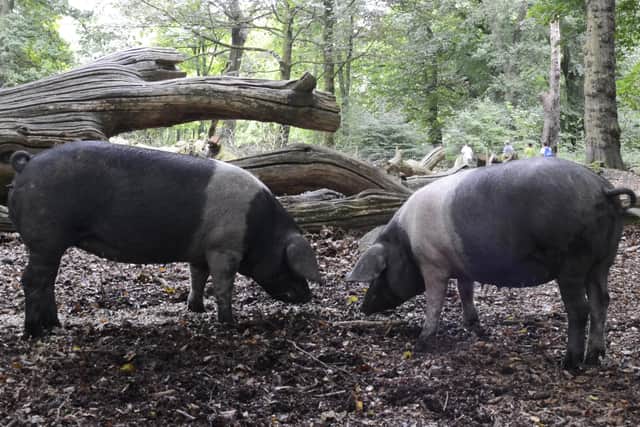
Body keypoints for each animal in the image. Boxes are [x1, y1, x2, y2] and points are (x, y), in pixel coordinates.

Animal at [8, 140, 321, 338]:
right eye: (289, 264)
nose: (307, 296)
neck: (260, 228)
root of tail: (26, 165)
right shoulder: (224, 247)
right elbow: (223, 285)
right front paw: (229, 323)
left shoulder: (201, 249)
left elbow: (197, 276)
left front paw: (196, 309)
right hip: (46, 237)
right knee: (32, 280)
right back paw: (35, 334)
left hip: (49, 243)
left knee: (47, 281)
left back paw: (56, 325)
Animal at [347, 157, 636, 369]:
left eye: (379, 274)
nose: (363, 307)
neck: (406, 243)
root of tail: (602, 189)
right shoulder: (463, 267)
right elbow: (465, 293)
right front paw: (479, 331)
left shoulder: (433, 264)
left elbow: (435, 302)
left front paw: (421, 344)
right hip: (603, 261)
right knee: (602, 301)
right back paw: (594, 358)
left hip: (571, 263)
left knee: (580, 309)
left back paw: (569, 363)